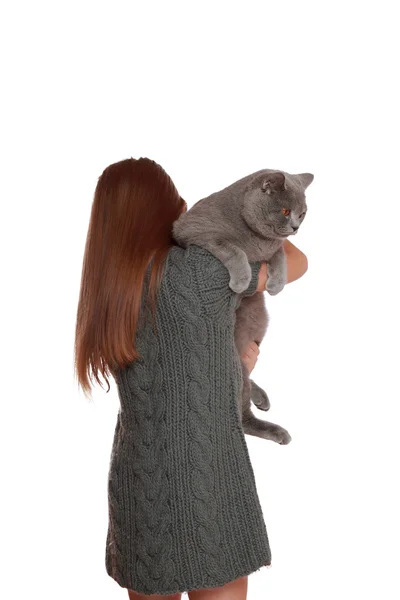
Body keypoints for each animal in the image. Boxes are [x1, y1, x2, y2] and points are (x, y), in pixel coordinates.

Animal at [172, 169, 312, 446]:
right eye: (284, 211)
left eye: (302, 213)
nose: (296, 227)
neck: (257, 239)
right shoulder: (195, 231)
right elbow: (233, 249)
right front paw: (241, 280)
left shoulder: (275, 246)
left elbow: (280, 254)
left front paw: (276, 284)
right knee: (242, 416)